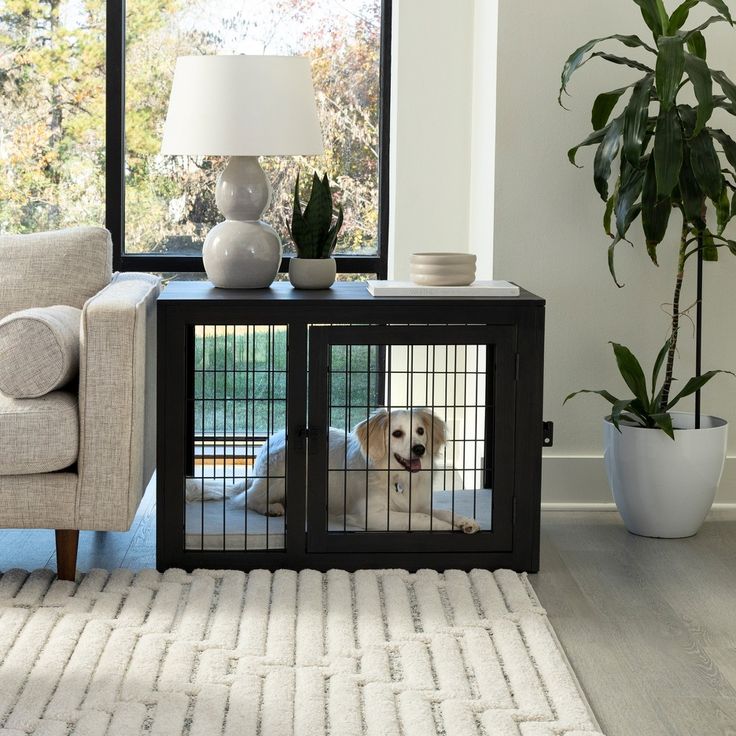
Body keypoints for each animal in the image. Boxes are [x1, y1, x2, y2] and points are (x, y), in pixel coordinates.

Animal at [230, 408, 480, 536]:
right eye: (397, 434)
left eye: (420, 431)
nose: (420, 449)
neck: (398, 477)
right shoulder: (372, 514)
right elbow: (421, 518)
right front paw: (445, 527)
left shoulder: (418, 503)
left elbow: (442, 511)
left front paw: (465, 521)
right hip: (280, 473)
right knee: (246, 498)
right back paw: (271, 508)